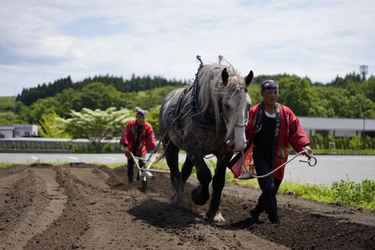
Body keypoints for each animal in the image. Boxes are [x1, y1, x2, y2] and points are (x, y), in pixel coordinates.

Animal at [157, 57, 254, 223]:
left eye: (248, 104)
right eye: (226, 104)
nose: (240, 143)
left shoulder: (225, 152)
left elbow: (218, 180)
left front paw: (215, 214)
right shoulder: (192, 146)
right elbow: (204, 174)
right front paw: (198, 196)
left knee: (185, 172)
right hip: (170, 145)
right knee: (175, 172)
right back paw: (178, 201)